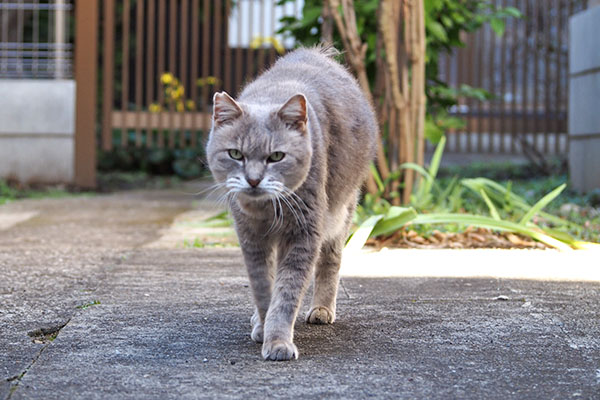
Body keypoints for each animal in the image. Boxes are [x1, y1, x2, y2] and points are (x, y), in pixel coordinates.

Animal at [205, 45, 376, 360]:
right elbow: (263, 287)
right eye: (235, 154)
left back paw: (321, 310)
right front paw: (263, 326)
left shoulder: (303, 234)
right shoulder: (250, 238)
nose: (253, 180)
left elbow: (286, 292)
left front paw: (277, 341)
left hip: (340, 213)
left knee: (331, 260)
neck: (266, 211)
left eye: (276, 156)